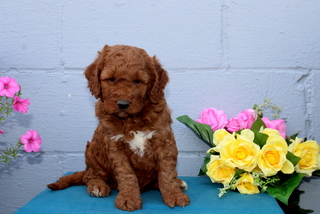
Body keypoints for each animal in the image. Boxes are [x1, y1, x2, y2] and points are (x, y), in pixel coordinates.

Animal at [48, 44, 190, 211]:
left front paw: (174, 194)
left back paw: (178, 183)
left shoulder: (163, 139)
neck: (132, 119)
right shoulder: (114, 146)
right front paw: (129, 198)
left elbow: (167, 172)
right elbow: (126, 174)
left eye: (138, 82)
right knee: (90, 175)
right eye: (111, 79)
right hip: (92, 152)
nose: (123, 104)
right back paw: (97, 186)